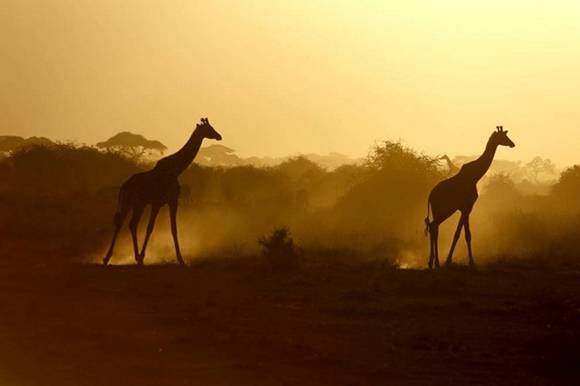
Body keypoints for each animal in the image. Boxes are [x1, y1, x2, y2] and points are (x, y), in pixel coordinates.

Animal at [102, 117, 222, 266]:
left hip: (134, 204)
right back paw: (119, 257)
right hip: (134, 204)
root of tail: (124, 186)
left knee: (127, 224)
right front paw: (180, 259)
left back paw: (121, 257)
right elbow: (162, 228)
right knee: (126, 224)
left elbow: (160, 228)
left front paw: (143, 257)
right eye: (209, 128)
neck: (176, 170)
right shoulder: (166, 202)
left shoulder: (161, 203)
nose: (219, 136)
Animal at [424, 126, 516, 268]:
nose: (512, 144)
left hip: (440, 210)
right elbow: (464, 234)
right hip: (444, 209)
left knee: (433, 226)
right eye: (503, 136)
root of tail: (430, 195)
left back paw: (432, 263)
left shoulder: (465, 208)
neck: (475, 176)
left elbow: (461, 234)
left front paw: (451, 260)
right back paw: (437, 264)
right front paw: (469, 262)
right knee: (434, 226)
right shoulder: (467, 207)